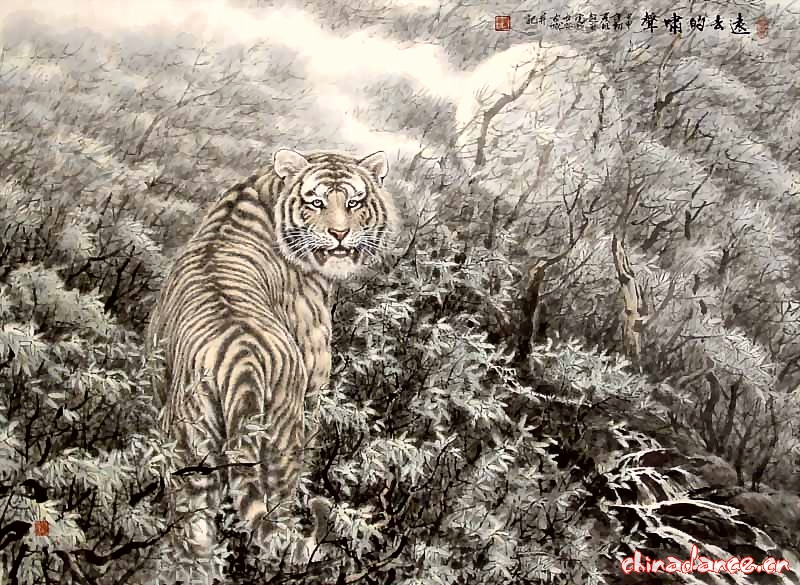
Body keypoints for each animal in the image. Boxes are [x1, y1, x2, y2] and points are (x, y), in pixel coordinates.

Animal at [145, 148, 397, 578]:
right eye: (317, 202)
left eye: (354, 202)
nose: (340, 234)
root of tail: (242, 362)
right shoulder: (314, 378)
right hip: (280, 444)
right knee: (276, 520)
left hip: (189, 453)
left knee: (194, 536)